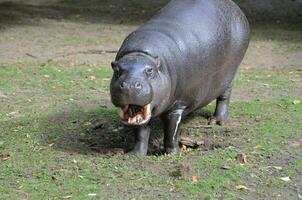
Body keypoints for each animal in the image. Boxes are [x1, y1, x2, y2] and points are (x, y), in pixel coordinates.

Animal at [109, 0, 249, 155]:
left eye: (150, 70)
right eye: (117, 70)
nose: (129, 85)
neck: (140, 54)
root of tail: (235, 6)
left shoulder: (177, 105)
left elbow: (171, 132)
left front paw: (172, 153)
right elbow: (141, 132)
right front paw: (135, 154)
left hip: (230, 74)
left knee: (224, 97)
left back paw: (217, 121)